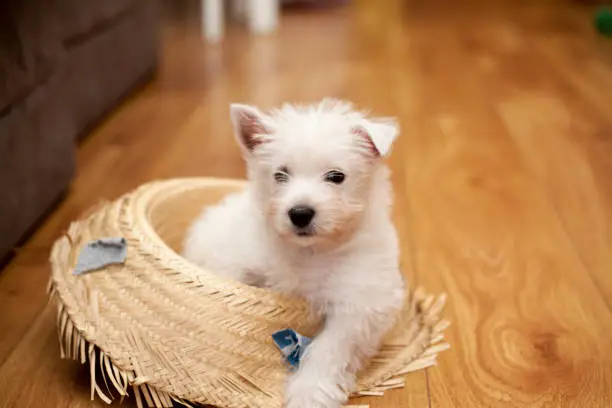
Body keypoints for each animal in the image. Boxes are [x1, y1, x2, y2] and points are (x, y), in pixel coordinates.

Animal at [185, 99, 406, 408]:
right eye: (280, 175)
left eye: (336, 176)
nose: (300, 213)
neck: (311, 252)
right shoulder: (237, 259)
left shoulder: (361, 302)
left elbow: (331, 347)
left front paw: (309, 393)